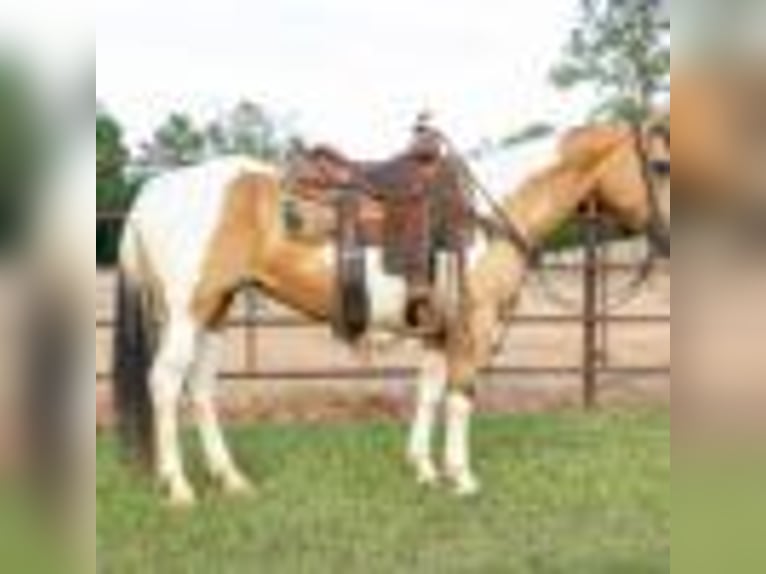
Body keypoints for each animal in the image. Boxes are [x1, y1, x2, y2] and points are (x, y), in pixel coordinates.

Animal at [112, 117, 670, 506]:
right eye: (662, 166)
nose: (668, 237)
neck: (486, 215)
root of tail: (153, 190)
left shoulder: (438, 330)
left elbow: (428, 394)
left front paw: (424, 468)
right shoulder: (474, 324)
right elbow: (461, 397)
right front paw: (462, 477)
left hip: (217, 309)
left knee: (201, 390)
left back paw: (231, 479)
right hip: (186, 311)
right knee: (165, 383)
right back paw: (179, 487)